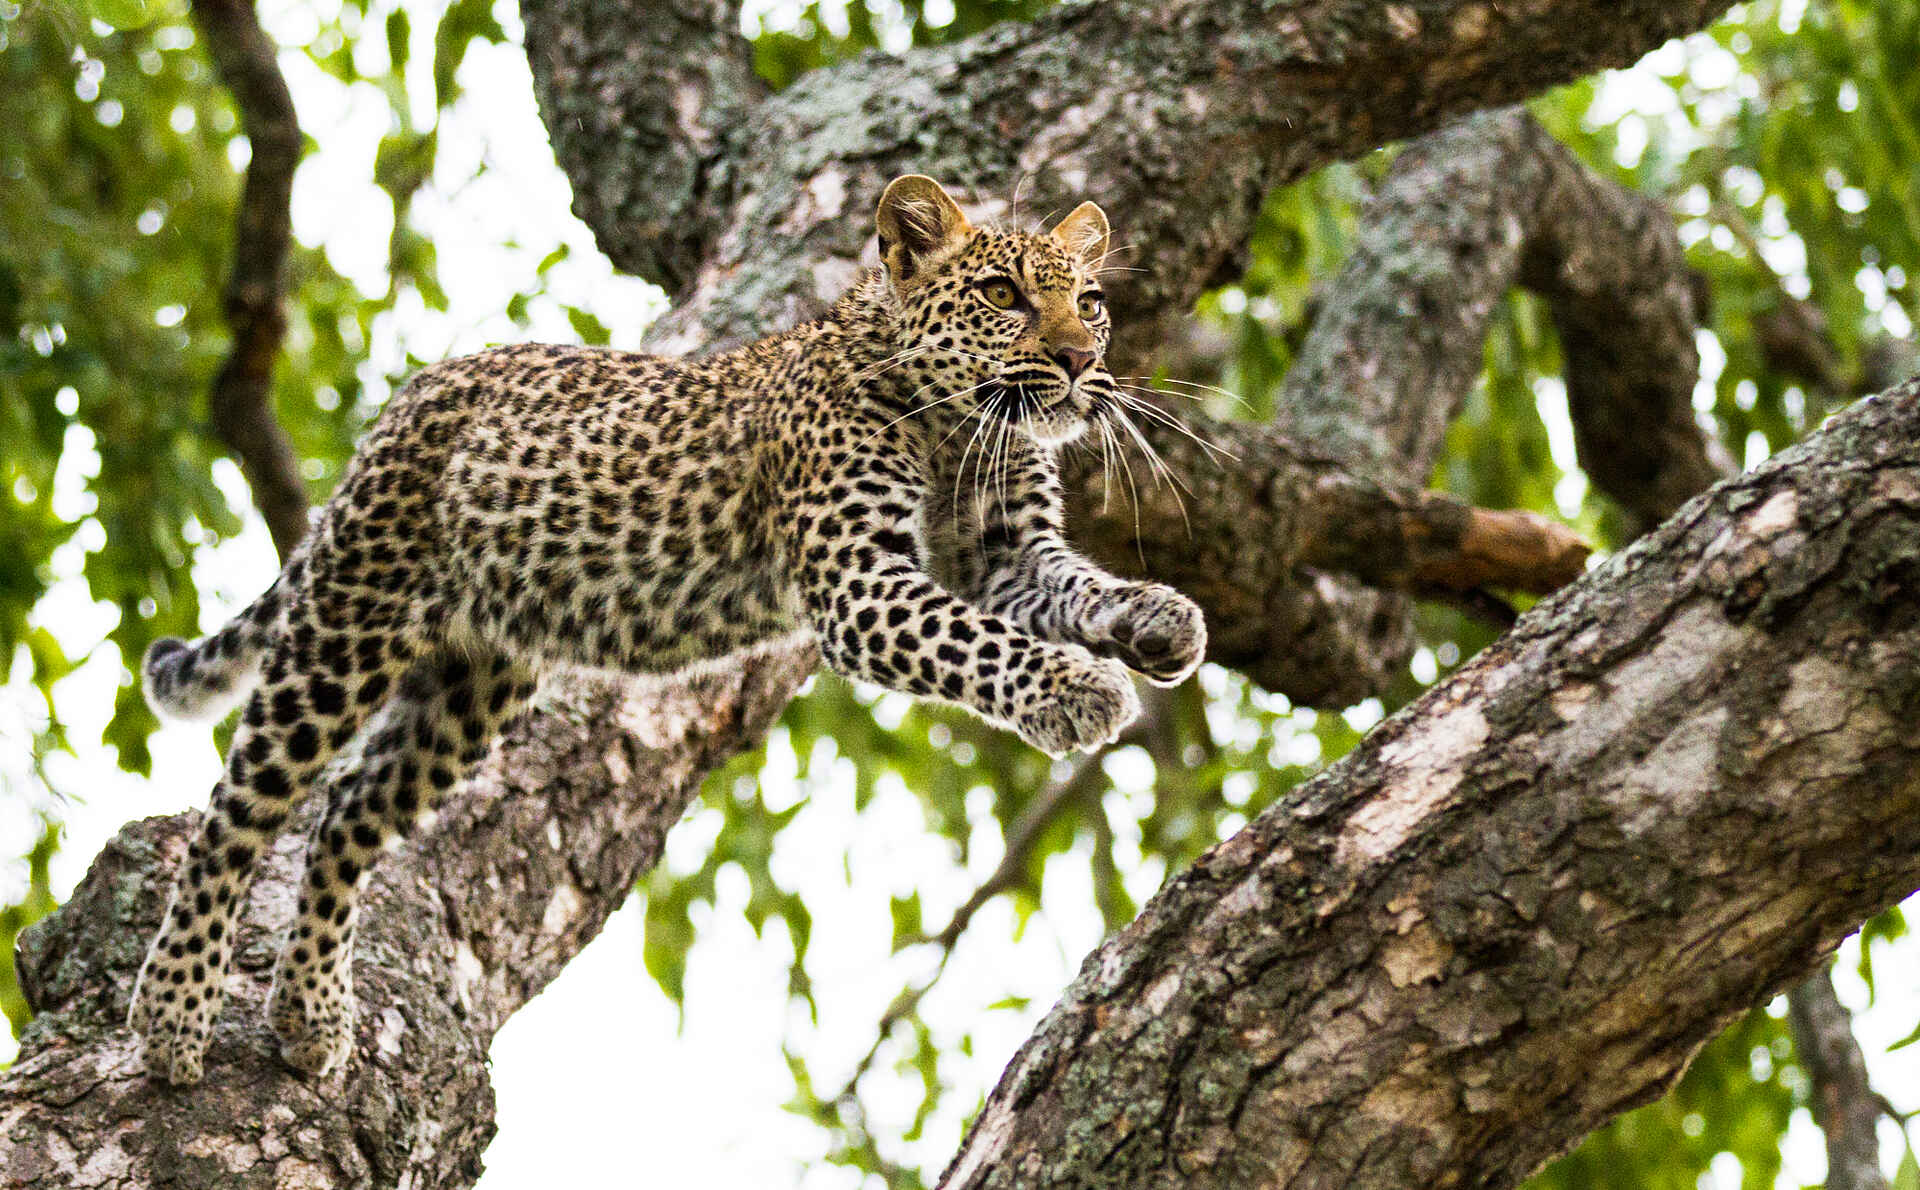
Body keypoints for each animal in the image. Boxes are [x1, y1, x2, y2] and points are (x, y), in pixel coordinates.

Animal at [127, 174, 1208, 1085]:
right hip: (351, 621)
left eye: (1091, 302)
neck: (956, 428)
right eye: (1002, 293)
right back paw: (172, 1015)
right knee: (236, 812)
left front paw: (1161, 621)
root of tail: (405, 402)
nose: (1081, 361)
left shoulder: (1009, 555)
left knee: (346, 809)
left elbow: (1075, 587)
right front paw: (1075, 689)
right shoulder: (858, 582)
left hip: (469, 685)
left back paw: (310, 1012)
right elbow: (974, 642)